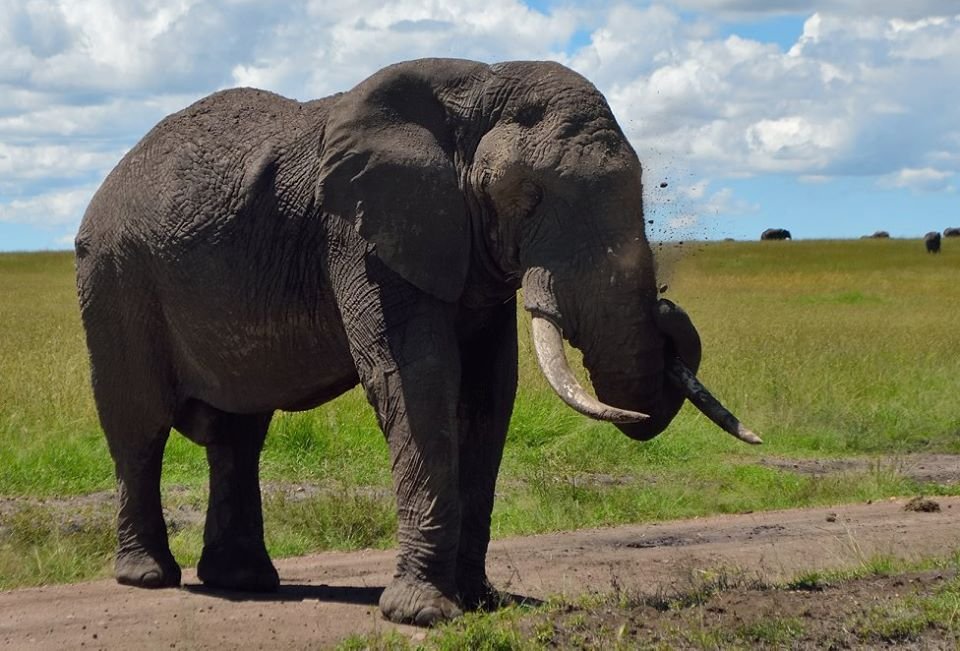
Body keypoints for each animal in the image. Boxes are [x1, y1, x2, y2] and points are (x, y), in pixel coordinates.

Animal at [75, 59, 756, 628]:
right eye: (526, 196)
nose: (665, 309)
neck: (476, 90)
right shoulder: (360, 235)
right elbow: (417, 380)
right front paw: (425, 615)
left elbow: (486, 393)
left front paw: (481, 603)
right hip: (114, 278)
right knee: (138, 427)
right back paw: (148, 577)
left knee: (239, 437)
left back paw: (243, 580)